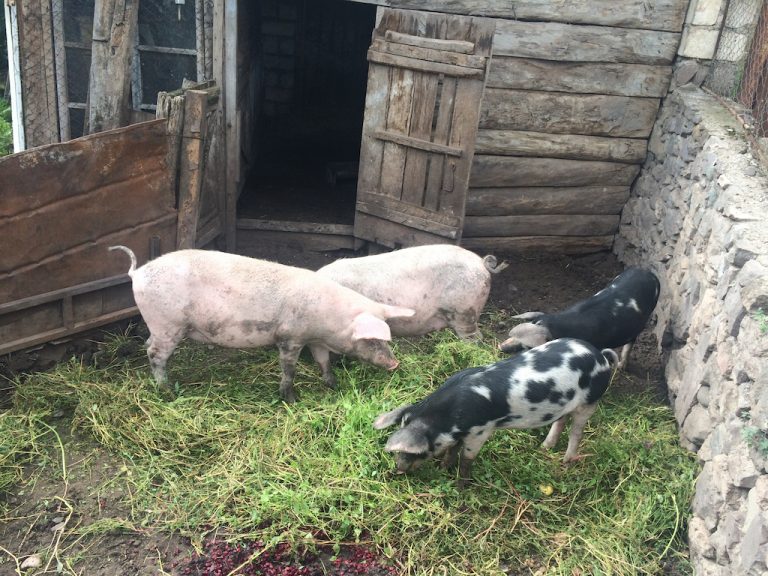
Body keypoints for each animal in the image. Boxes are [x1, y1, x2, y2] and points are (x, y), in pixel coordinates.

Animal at [109, 246, 415, 402]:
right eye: (372, 339)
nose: (395, 363)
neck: (329, 320)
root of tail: (137, 273)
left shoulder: (315, 340)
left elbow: (324, 362)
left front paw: (333, 385)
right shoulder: (290, 337)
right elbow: (289, 370)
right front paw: (291, 399)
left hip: (159, 325)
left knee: (148, 345)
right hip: (167, 323)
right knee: (154, 354)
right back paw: (167, 390)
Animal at [373, 338, 618, 488]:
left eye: (417, 452)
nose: (399, 469)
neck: (447, 419)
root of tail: (600, 356)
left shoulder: (481, 430)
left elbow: (466, 457)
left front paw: (461, 485)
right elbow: (452, 450)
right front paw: (444, 468)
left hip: (590, 402)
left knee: (577, 431)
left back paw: (566, 463)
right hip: (565, 404)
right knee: (560, 421)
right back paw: (544, 448)